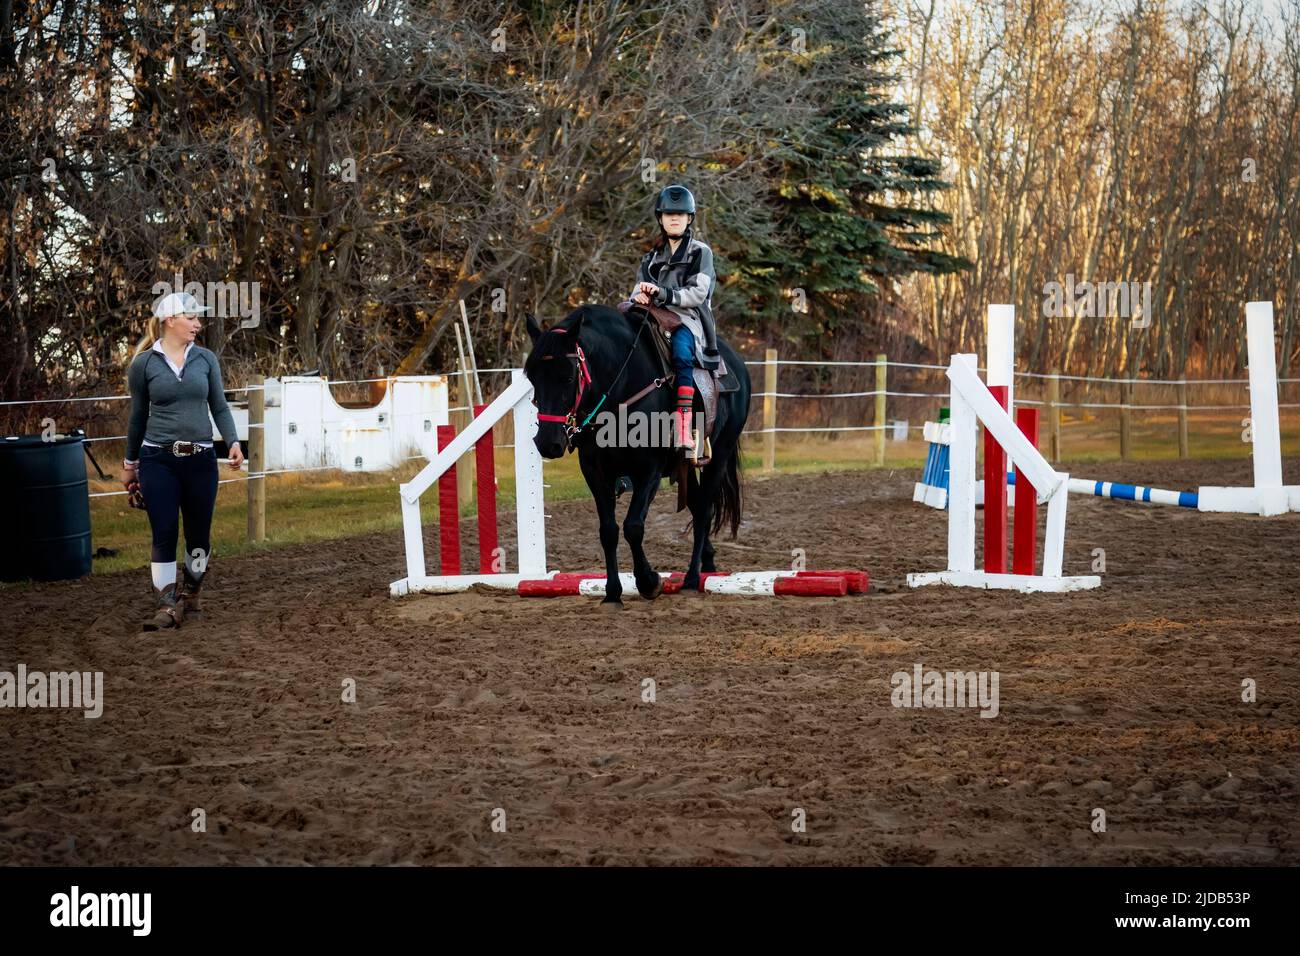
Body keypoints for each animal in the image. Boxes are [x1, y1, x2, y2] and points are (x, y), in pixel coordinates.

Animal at [525, 303, 754, 608]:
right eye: (532, 377)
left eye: (569, 376)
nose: (547, 442)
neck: (622, 385)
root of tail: (737, 363)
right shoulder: (594, 471)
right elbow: (608, 531)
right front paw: (612, 592)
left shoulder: (649, 470)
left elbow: (633, 526)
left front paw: (649, 581)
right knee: (696, 505)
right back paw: (708, 565)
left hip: (719, 456)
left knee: (704, 509)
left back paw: (692, 578)